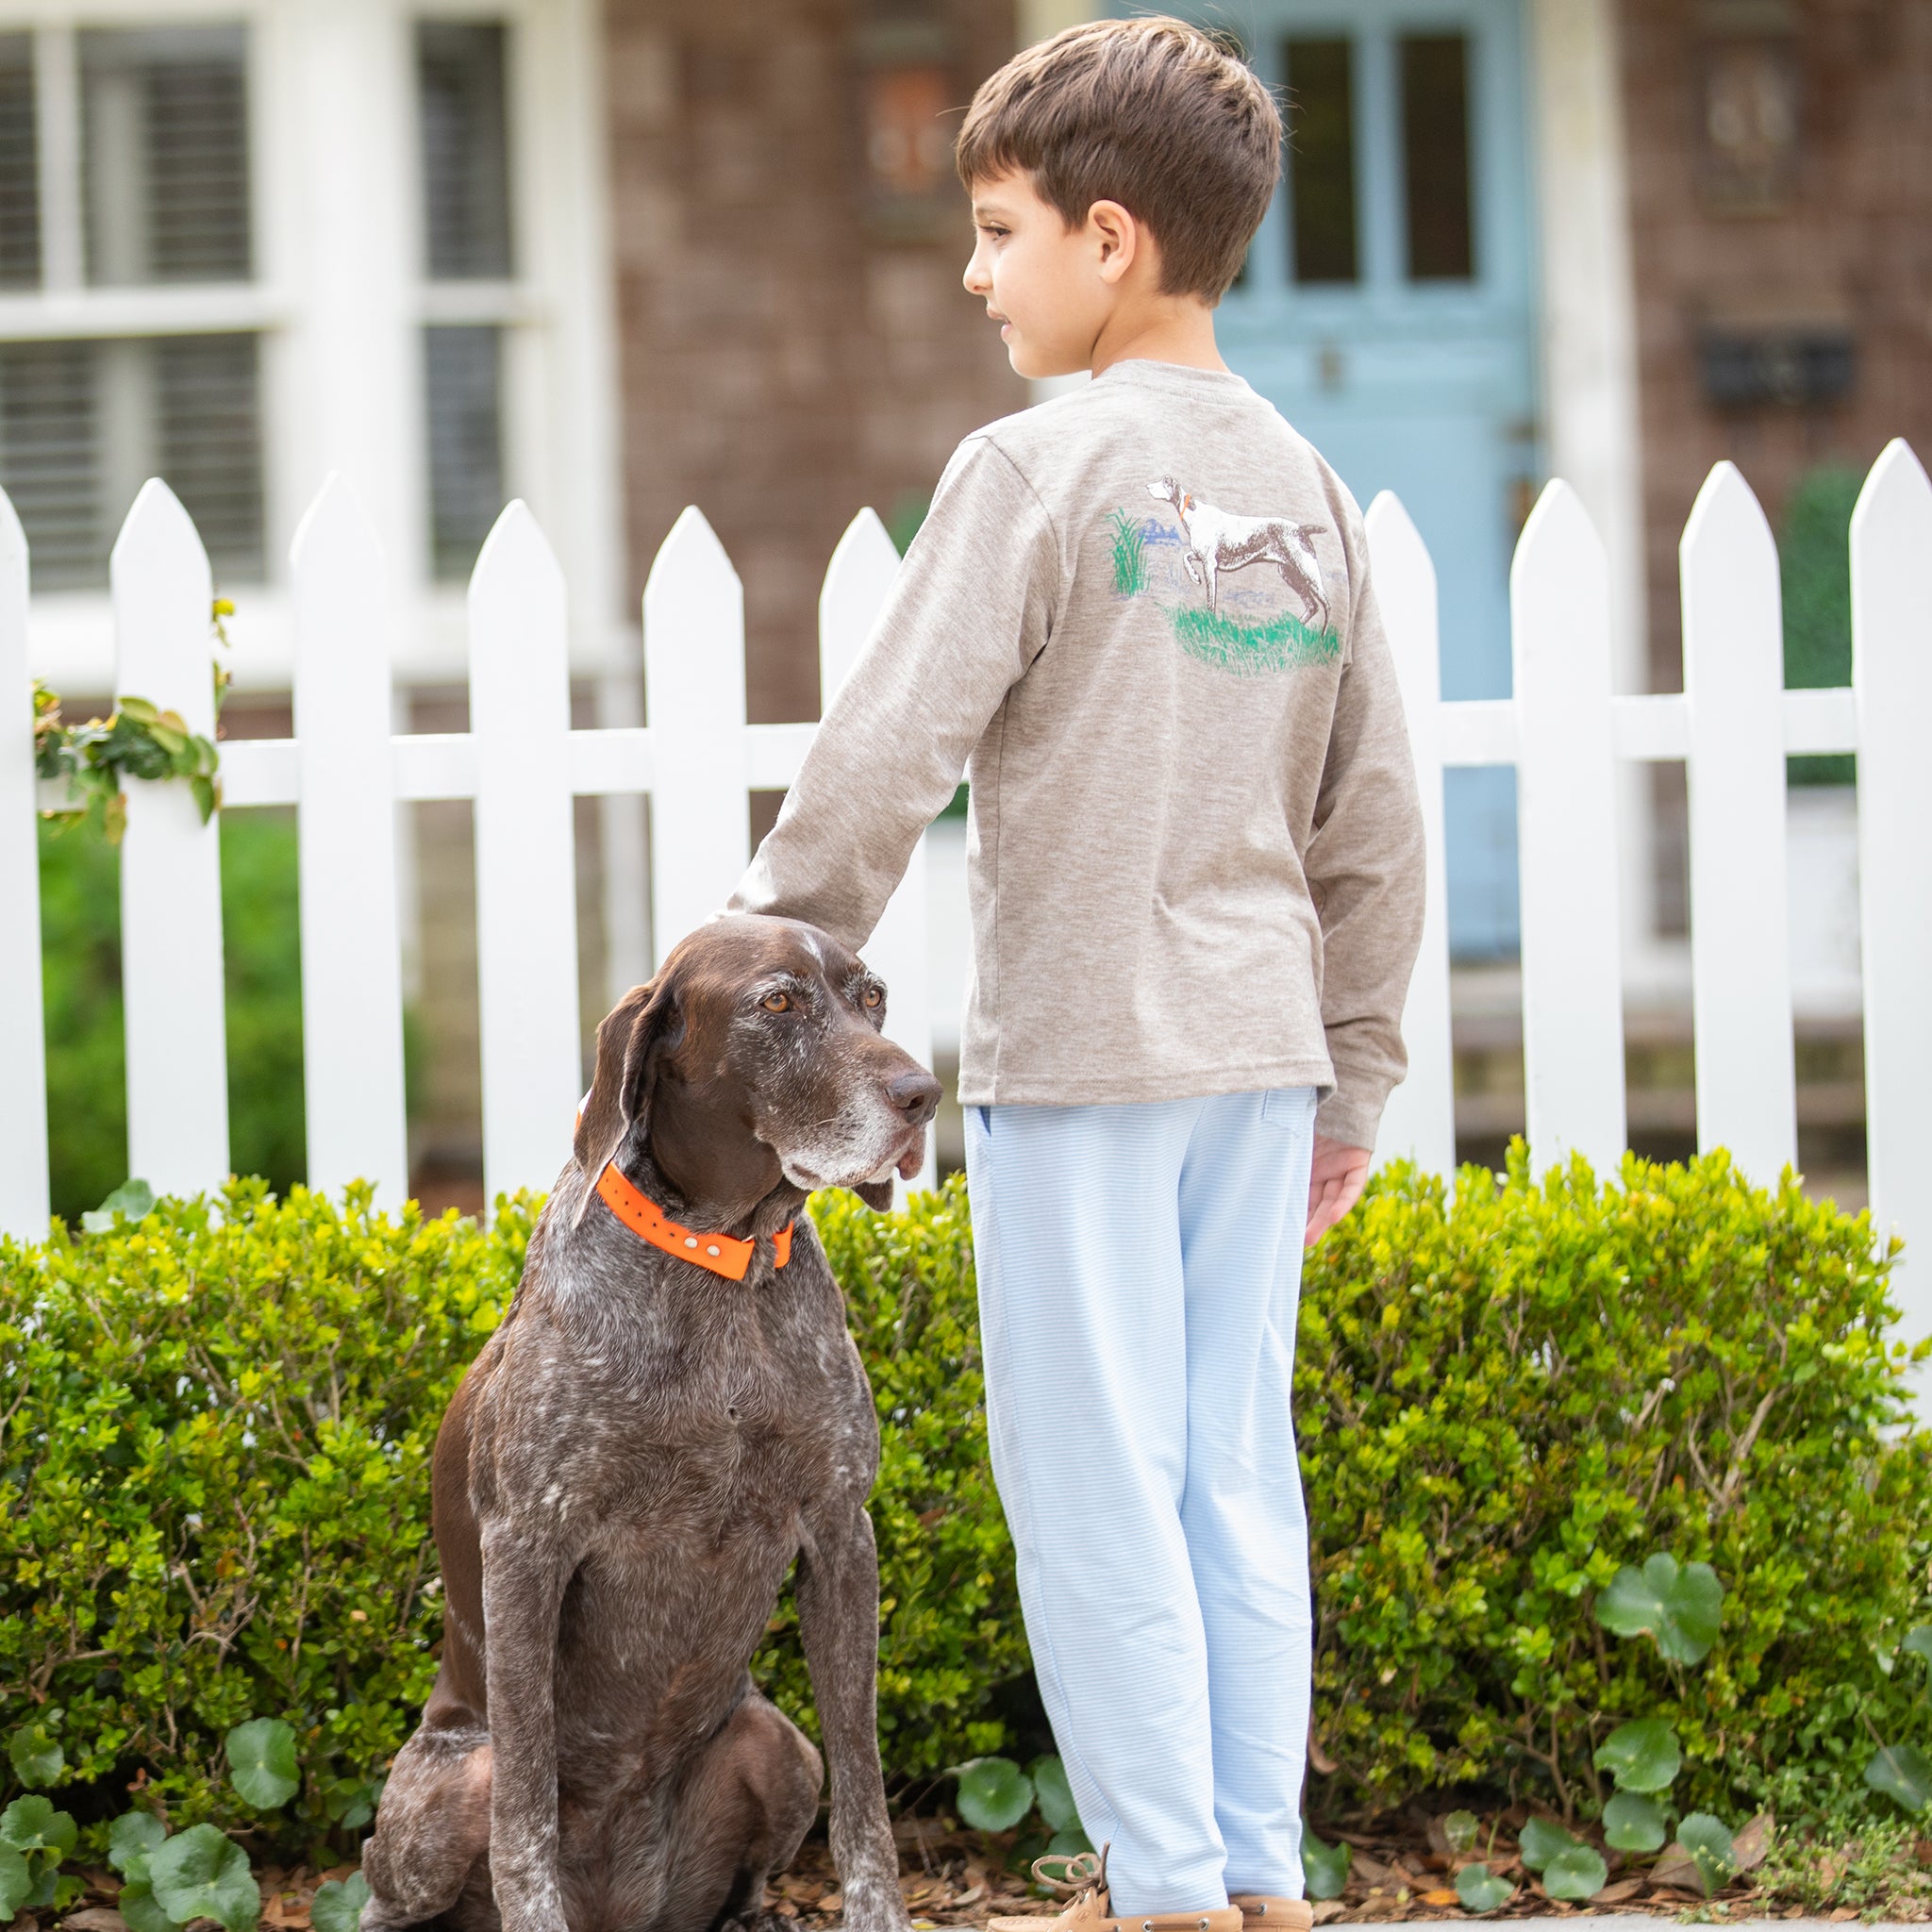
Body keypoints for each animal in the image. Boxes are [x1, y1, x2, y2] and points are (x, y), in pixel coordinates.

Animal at [363, 911, 942, 1932]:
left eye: (871, 996)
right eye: (777, 1002)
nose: (923, 1095)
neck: (720, 1257)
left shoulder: (842, 1532)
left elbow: (867, 1804)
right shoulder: (530, 1548)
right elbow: (524, 1823)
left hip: (776, 1743)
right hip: (444, 1789)